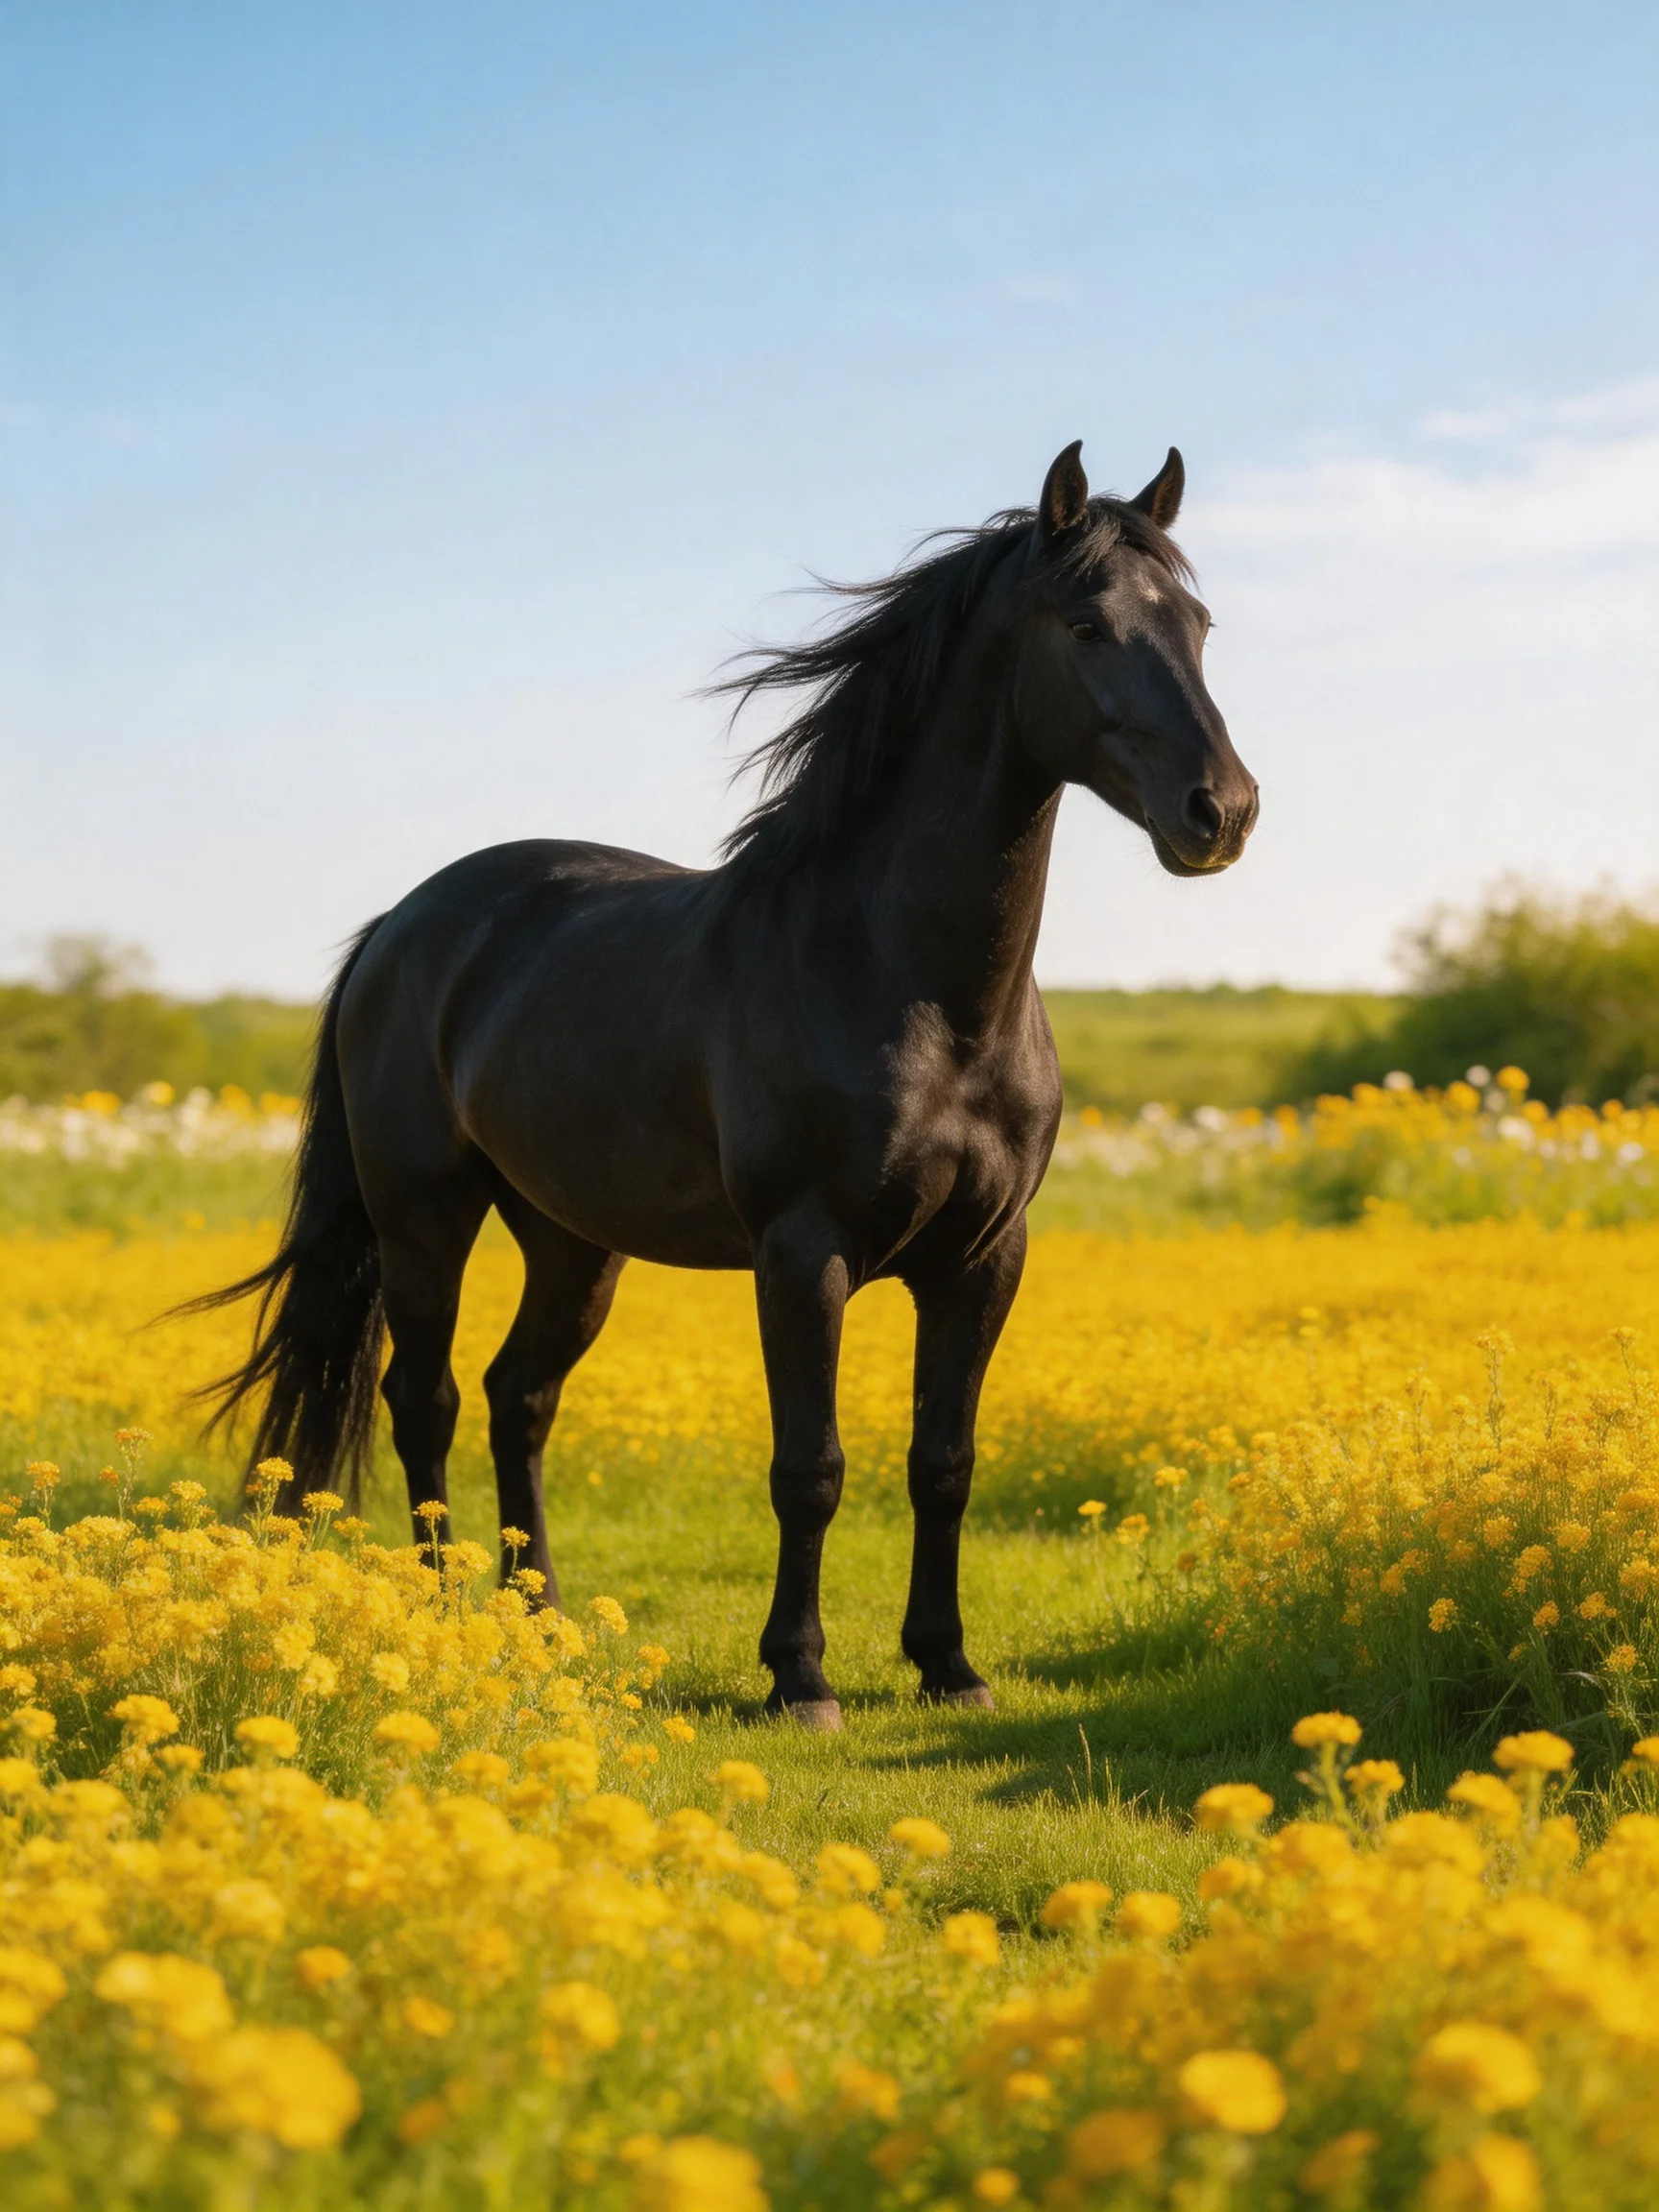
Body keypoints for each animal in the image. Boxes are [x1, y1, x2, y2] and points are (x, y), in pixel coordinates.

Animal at [194, 440, 1258, 1729]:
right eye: (1089, 623)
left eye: (1198, 624)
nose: (1223, 812)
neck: (914, 986)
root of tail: (399, 926)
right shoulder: (804, 1254)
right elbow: (811, 1467)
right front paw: (800, 1676)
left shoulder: (982, 1259)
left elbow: (943, 1463)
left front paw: (948, 1665)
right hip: (424, 1219)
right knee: (427, 1396)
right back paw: (448, 1611)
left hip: (572, 1243)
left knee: (518, 1398)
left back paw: (538, 1619)